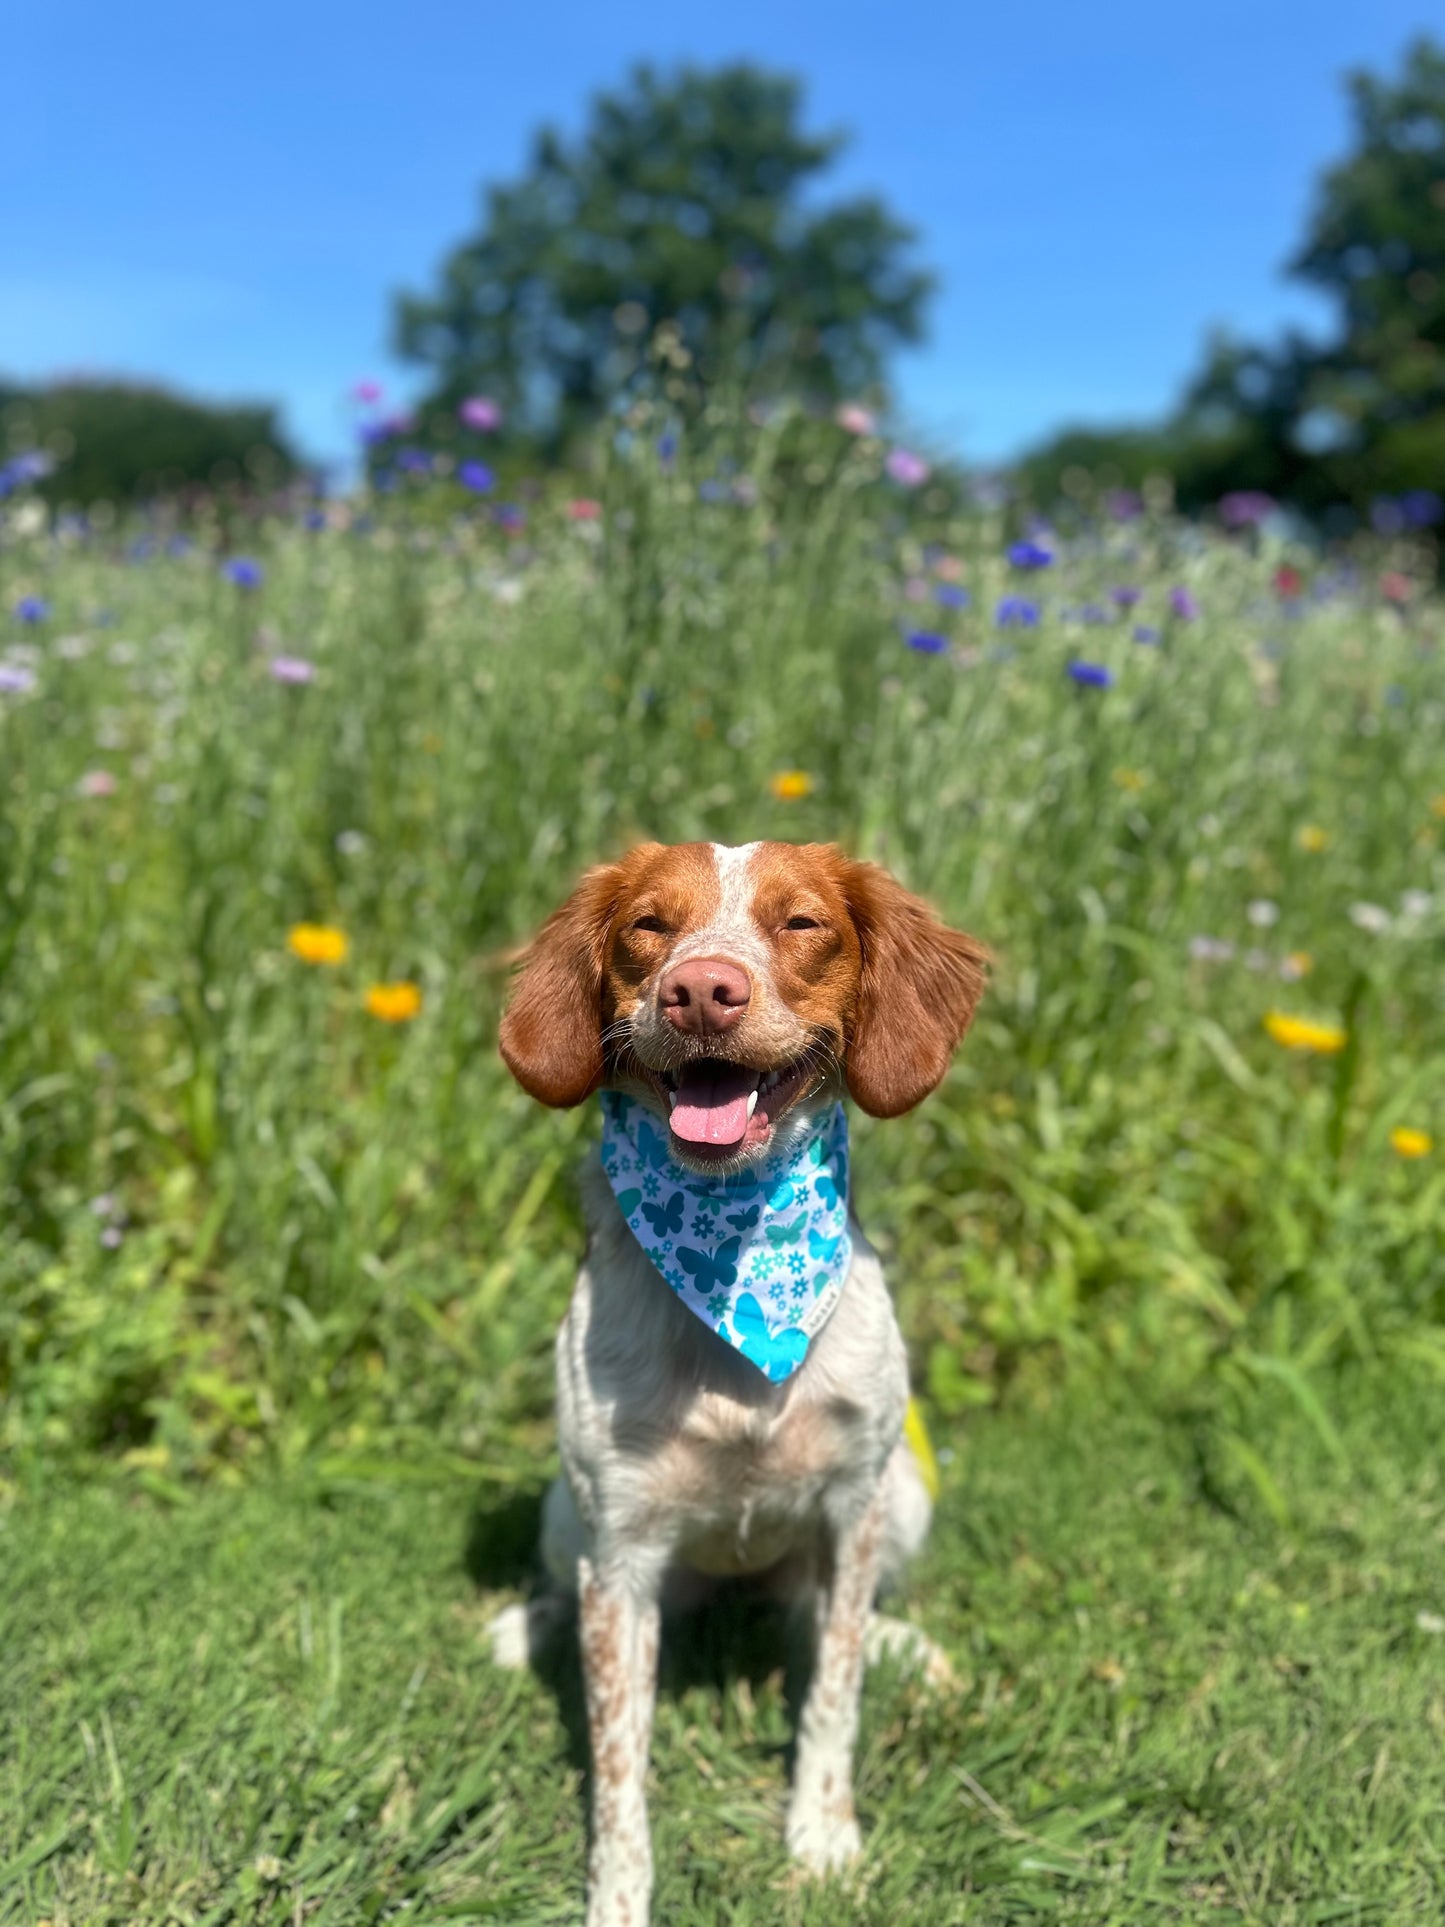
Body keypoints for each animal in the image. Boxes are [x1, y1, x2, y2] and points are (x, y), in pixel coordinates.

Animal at [493, 844, 994, 1927]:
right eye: (647, 925)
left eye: (800, 923)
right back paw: (529, 1624)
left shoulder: (851, 1511)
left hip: (904, 1492)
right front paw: (617, 1899)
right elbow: (618, 1766)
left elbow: (833, 1693)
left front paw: (822, 1838)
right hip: (566, 1512)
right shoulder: (622, 1551)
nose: (699, 990)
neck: (731, 1261)